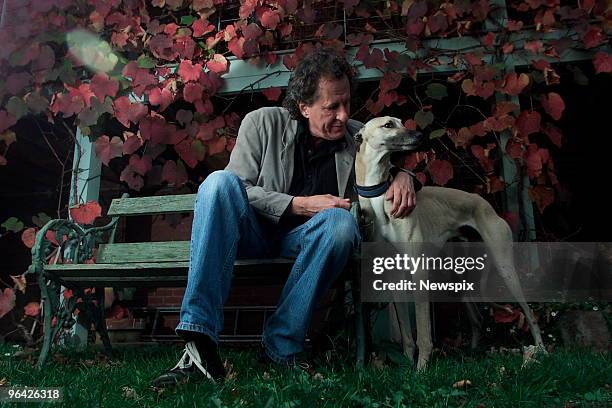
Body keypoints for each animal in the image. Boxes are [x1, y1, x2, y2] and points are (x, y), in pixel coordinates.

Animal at [354, 116, 544, 372]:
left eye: (401, 122)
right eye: (388, 125)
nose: (420, 136)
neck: (378, 197)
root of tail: (484, 202)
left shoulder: (418, 272)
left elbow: (424, 332)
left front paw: (421, 370)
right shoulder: (395, 275)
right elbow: (406, 334)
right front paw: (406, 364)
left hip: (505, 267)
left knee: (530, 313)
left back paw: (541, 351)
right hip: (457, 279)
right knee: (477, 318)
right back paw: (473, 353)